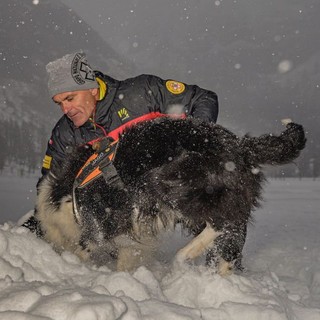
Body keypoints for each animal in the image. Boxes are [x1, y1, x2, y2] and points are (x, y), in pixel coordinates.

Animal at [33, 119, 306, 274]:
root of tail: (239, 145)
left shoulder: (96, 224)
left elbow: (88, 247)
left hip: (169, 181)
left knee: (221, 224)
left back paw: (183, 258)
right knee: (230, 239)